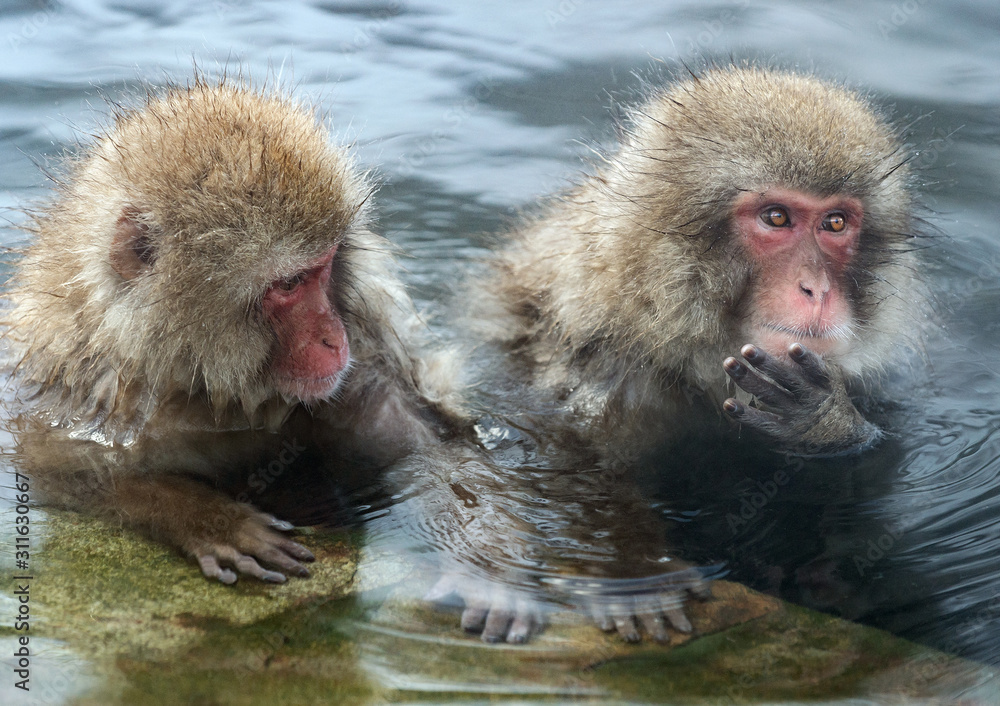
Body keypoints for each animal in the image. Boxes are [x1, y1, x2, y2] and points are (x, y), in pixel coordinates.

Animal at [3, 76, 463, 586]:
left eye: (326, 266)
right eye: (289, 284)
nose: (334, 338)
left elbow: (427, 451)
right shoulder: (76, 399)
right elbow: (53, 470)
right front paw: (206, 518)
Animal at [458, 65, 923, 642]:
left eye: (835, 223)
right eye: (776, 217)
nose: (816, 289)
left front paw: (823, 422)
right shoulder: (591, 367)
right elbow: (560, 463)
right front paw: (631, 575)